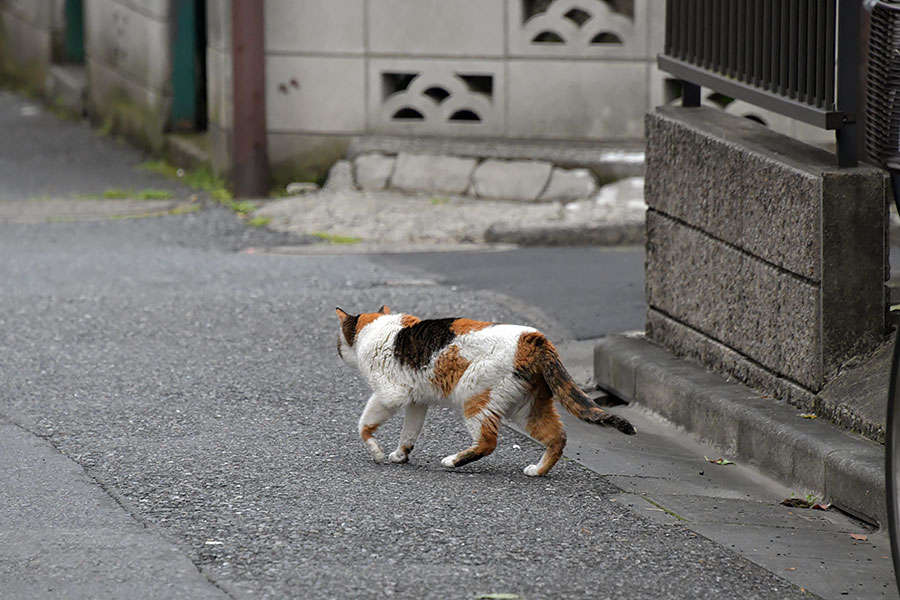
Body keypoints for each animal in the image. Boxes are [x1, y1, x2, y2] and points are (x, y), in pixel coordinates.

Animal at [334, 308, 636, 476]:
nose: (337, 351)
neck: (380, 329)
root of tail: (534, 339)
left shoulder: (390, 394)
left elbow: (363, 425)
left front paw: (376, 451)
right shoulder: (417, 401)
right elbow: (410, 431)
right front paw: (400, 454)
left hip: (476, 394)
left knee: (489, 442)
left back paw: (453, 461)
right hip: (527, 407)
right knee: (557, 437)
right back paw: (538, 471)